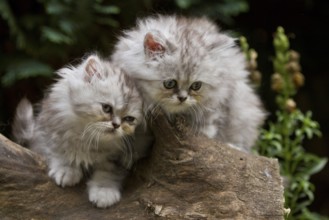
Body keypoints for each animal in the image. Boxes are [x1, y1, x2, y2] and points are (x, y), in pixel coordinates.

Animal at [12, 53, 143, 208]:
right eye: (107, 108)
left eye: (129, 119)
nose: (116, 125)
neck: (88, 138)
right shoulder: (50, 130)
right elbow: (60, 151)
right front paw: (66, 170)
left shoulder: (122, 155)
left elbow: (108, 171)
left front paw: (104, 191)